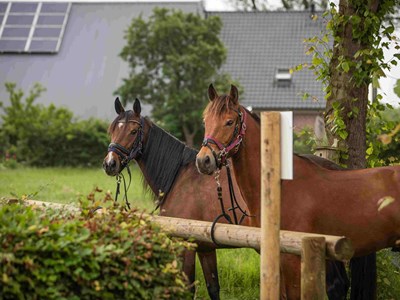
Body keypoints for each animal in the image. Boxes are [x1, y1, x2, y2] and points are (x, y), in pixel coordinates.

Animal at [103, 97, 250, 298]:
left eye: (133, 131)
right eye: (112, 130)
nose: (110, 164)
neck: (179, 175)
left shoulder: (185, 246)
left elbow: (188, 289)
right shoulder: (205, 248)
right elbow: (213, 288)